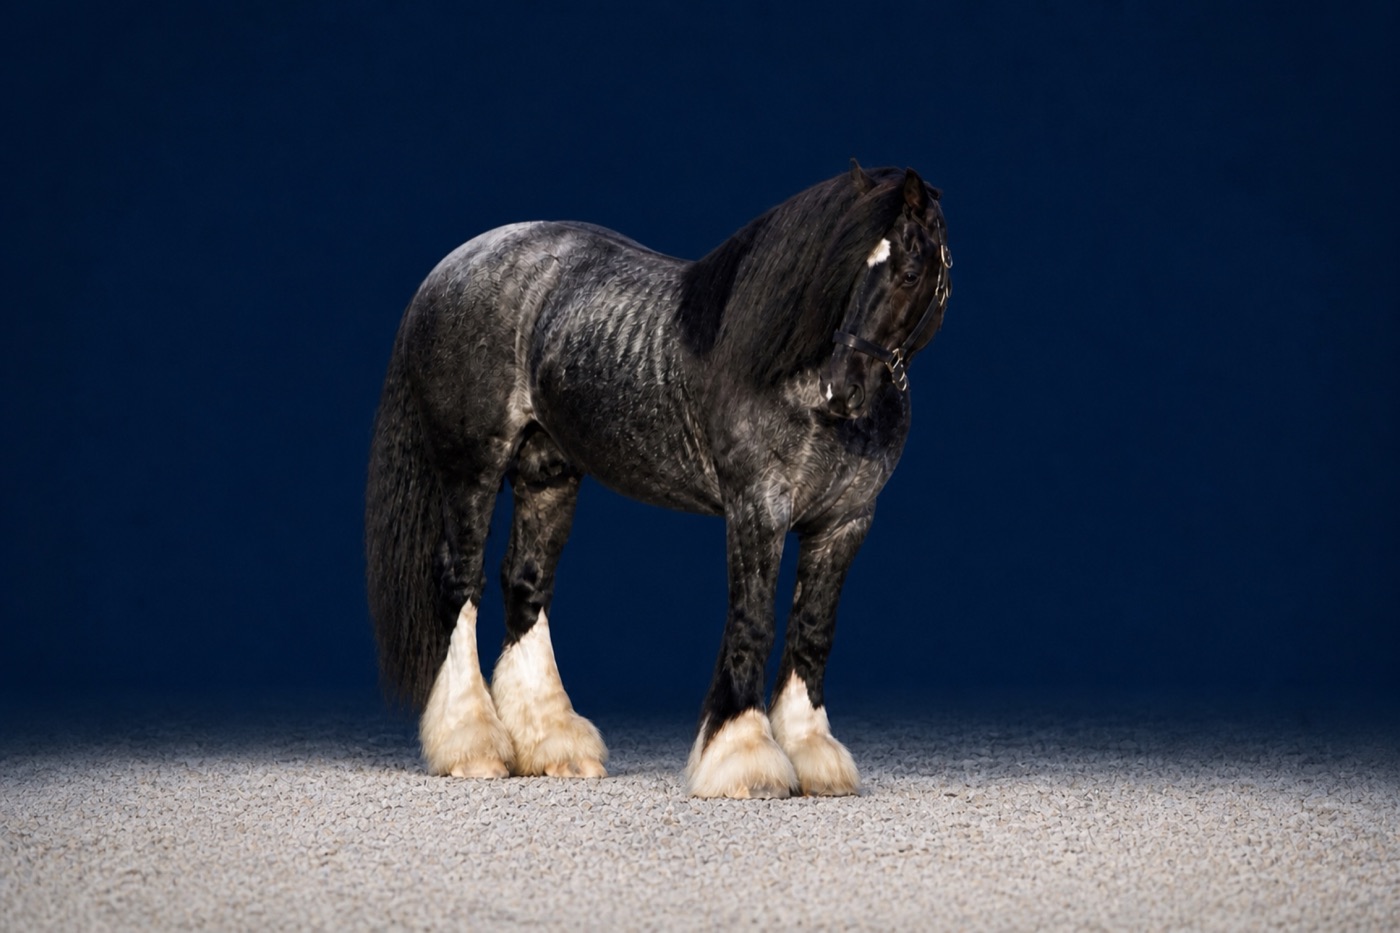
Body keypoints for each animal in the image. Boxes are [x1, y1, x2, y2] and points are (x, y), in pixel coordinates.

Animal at [365, 160, 952, 798]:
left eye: (911, 271)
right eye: (842, 269)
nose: (842, 391)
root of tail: (449, 268)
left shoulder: (843, 524)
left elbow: (813, 631)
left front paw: (812, 753)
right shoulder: (758, 510)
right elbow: (753, 623)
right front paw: (743, 757)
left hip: (547, 472)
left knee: (525, 583)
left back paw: (555, 746)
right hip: (471, 466)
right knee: (460, 584)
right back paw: (470, 746)